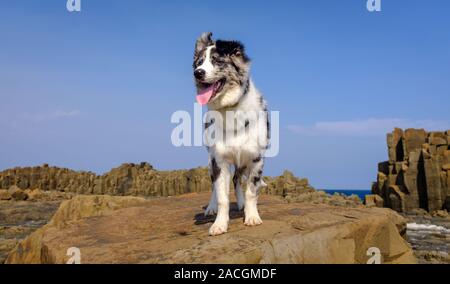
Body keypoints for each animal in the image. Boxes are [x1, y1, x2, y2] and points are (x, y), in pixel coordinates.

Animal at [192, 32, 268, 236]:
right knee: (214, 185)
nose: (197, 73)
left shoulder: (256, 159)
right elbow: (222, 197)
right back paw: (211, 208)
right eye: (199, 62)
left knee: (237, 180)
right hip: (211, 160)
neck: (231, 108)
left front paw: (252, 216)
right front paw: (219, 224)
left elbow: (251, 191)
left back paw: (241, 205)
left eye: (217, 60)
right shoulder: (220, 161)